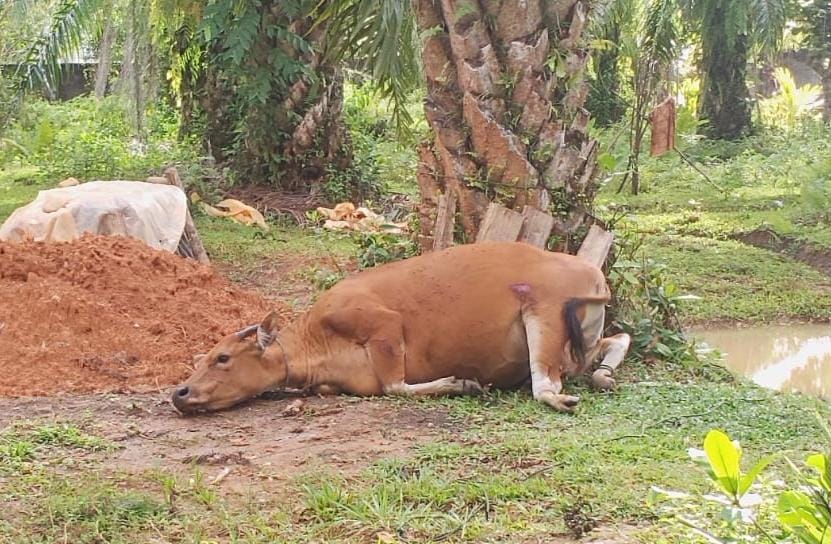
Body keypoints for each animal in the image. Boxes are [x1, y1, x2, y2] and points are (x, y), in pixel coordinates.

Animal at [171, 240, 632, 414]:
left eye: (222, 357)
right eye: (200, 359)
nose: (180, 393)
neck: (317, 341)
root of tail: (593, 273)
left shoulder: (384, 326)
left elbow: (395, 386)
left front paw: (461, 383)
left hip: (542, 313)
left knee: (544, 387)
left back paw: (559, 396)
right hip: (577, 343)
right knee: (616, 339)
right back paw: (605, 375)